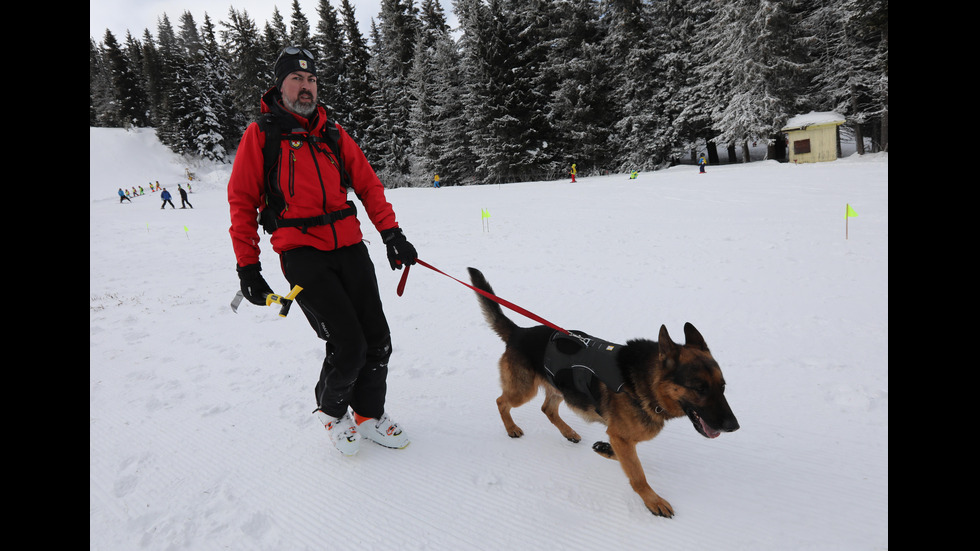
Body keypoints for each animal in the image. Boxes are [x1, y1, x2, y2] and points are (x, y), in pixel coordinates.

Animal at [470, 268, 740, 516]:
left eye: (723, 387)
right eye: (699, 388)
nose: (734, 426)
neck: (646, 383)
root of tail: (520, 332)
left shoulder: (620, 437)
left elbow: (626, 460)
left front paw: (604, 449)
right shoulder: (621, 436)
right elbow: (637, 474)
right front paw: (653, 500)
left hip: (560, 388)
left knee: (547, 409)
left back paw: (568, 432)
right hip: (523, 391)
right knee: (501, 401)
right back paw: (511, 428)